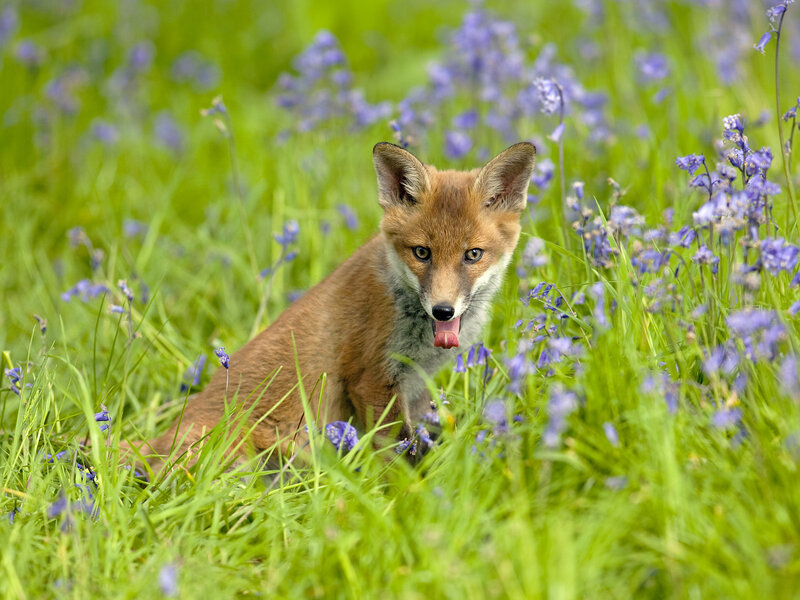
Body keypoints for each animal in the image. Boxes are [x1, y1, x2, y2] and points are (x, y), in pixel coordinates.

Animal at [132, 141, 536, 472]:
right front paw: (407, 494)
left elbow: (420, 440)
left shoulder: (417, 386)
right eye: (422, 253)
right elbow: (400, 455)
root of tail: (154, 444)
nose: (443, 311)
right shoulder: (371, 379)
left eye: (473, 255)